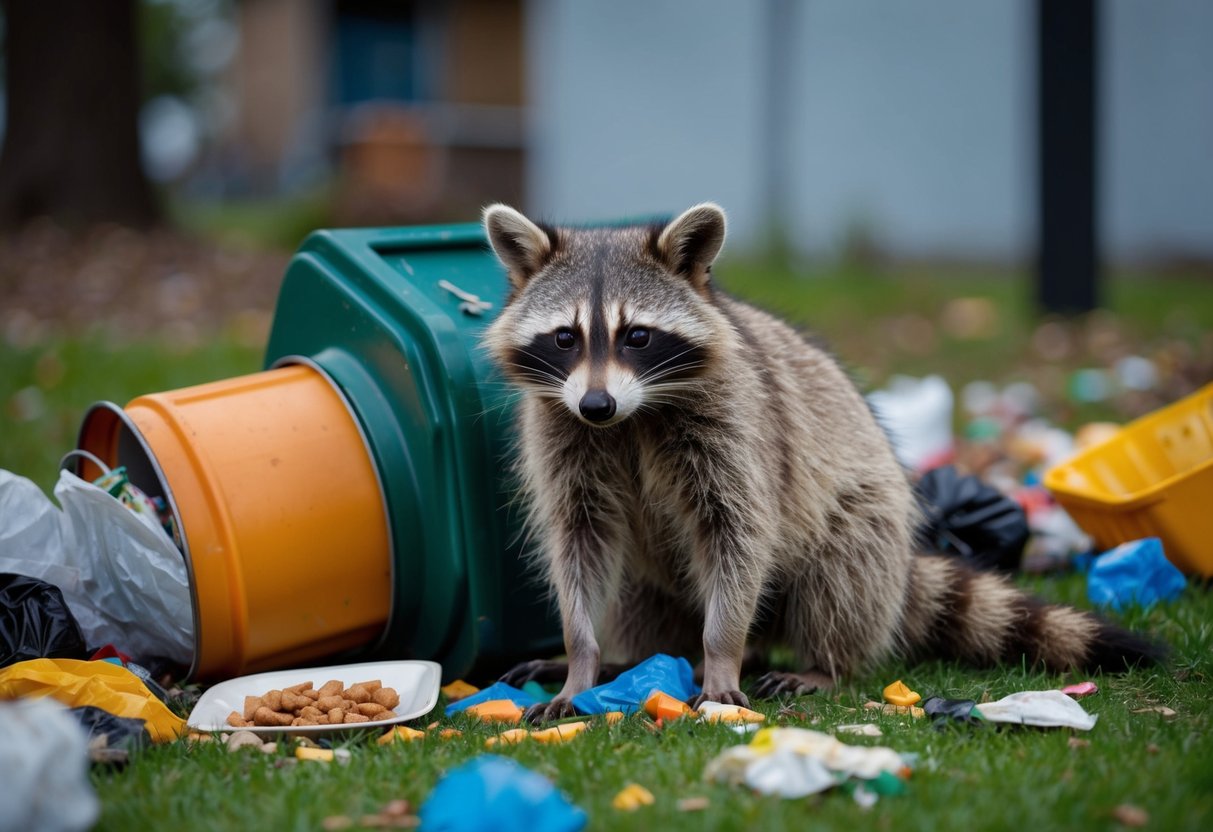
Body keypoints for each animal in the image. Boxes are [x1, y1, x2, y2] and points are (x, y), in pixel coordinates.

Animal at [482, 202, 1164, 722]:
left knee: (840, 573)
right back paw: (631, 657)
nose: (596, 404)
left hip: (869, 519)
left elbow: (739, 534)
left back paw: (823, 663)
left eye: (638, 336)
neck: (632, 415)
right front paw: (582, 660)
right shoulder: (564, 432)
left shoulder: (738, 430)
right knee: (632, 587)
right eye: (565, 337)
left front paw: (721, 653)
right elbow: (581, 542)